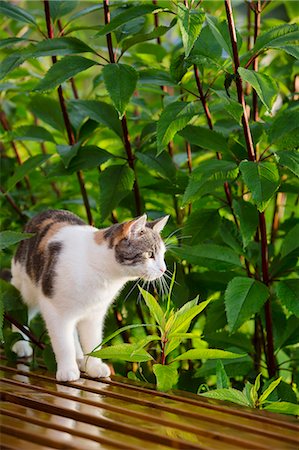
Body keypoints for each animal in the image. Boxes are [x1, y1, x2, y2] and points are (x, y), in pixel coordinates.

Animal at [11, 209, 169, 382]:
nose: (163, 269)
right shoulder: (53, 306)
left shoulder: (95, 313)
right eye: (150, 254)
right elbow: (63, 342)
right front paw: (67, 370)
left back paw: (79, 357)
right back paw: (20, 345)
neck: (102, 271)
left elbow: (92, 340)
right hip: (25, 286)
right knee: (21, 310)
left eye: (163, 255)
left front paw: (93, 366)